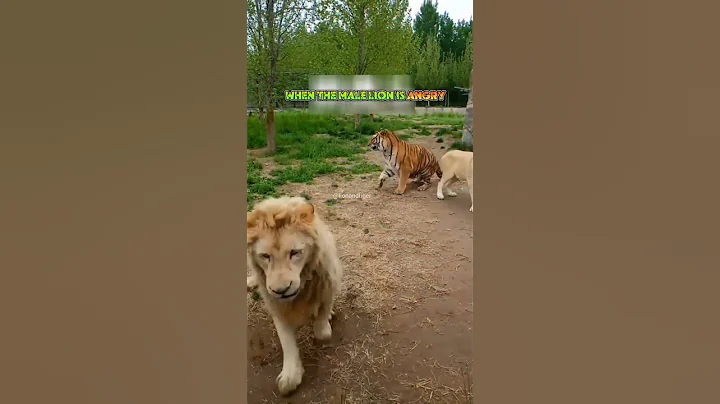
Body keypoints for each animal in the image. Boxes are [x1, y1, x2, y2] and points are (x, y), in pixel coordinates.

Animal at [246, 196, 343, 396]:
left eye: (295, 253)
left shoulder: (329, 282)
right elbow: (287, 341)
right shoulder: (276, 306)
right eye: (265, 256)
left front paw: (323, 324)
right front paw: (291, 376)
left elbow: (322, 329)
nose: (281, 290)